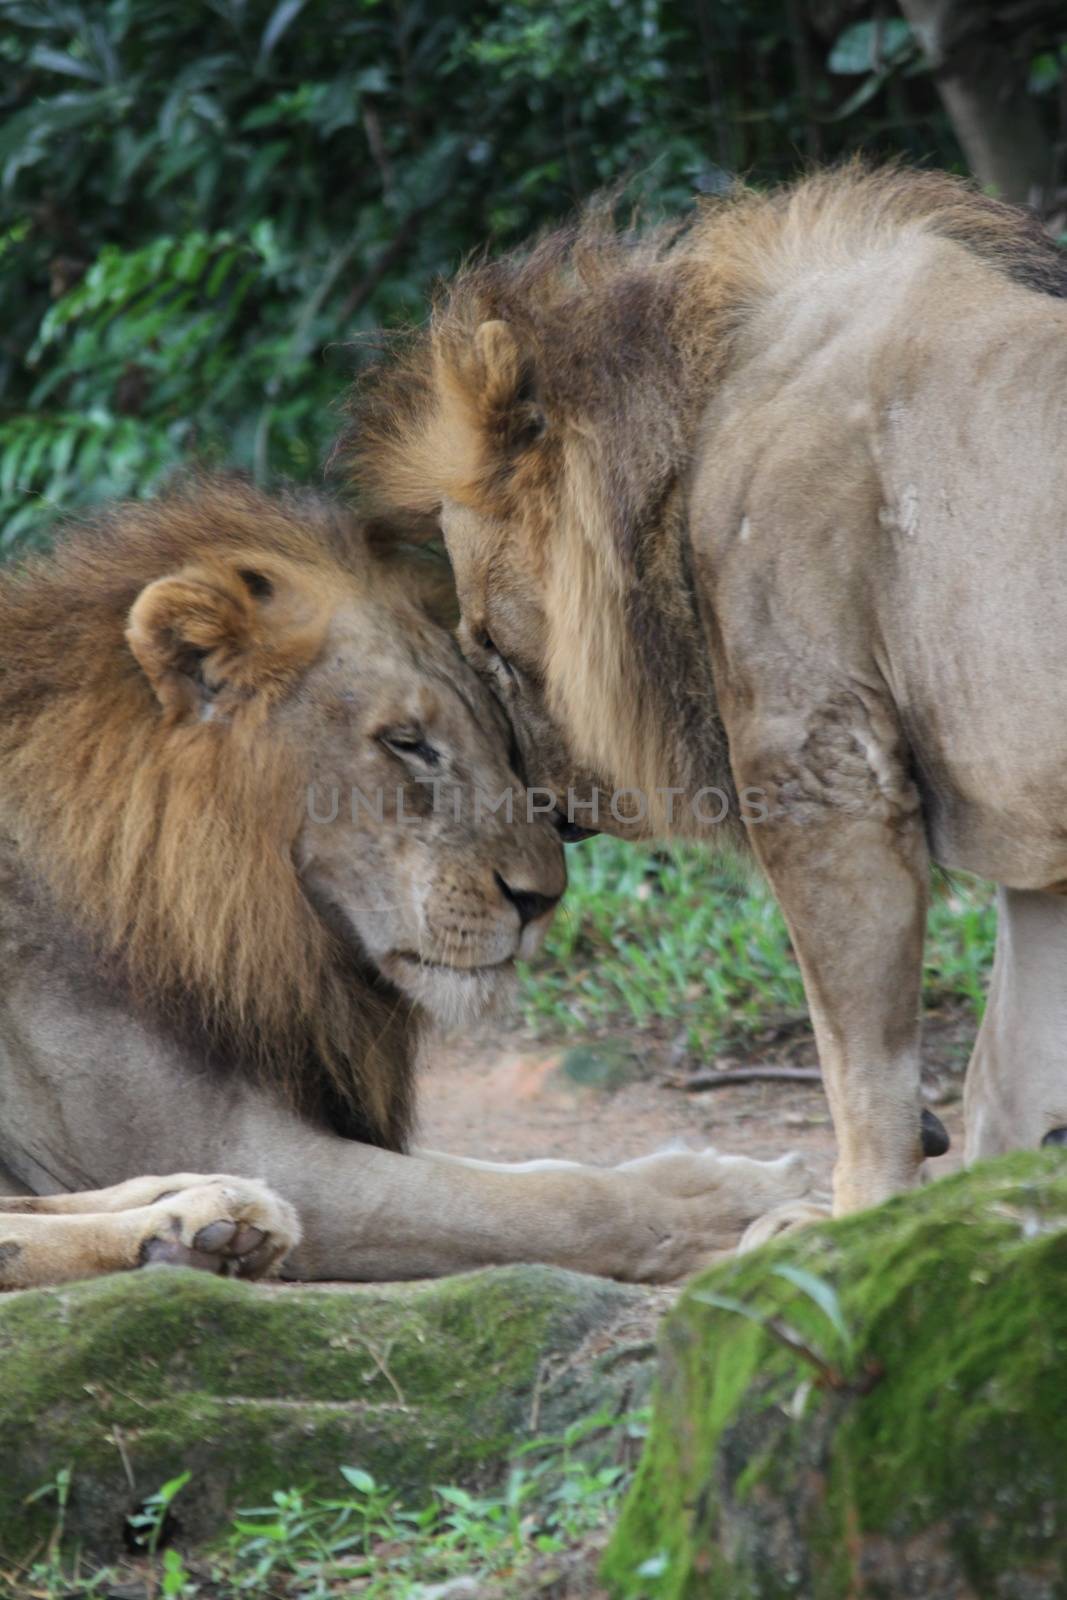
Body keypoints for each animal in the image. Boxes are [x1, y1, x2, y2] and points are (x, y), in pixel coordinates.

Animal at [0, 470, 812, 1286]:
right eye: (406, 743)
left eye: (502, 743)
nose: (540, 899)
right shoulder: (228, 1139)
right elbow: (543, 1201)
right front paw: (734, 1208)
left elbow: (531, 1168)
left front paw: (742, 1177)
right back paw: (197, 1227)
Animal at [347, 162, 1067, 1216]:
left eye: (485, 641)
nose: (532, 790)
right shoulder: (1033, 843)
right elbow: (1013, 1081)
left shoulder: (823, 782)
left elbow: (864, 1078)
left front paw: (853, 1227)